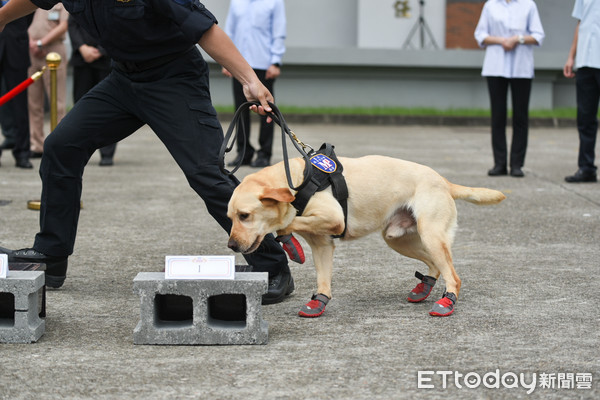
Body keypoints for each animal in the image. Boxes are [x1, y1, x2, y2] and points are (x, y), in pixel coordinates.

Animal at [227, 155, 504, 318]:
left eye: (244, 215)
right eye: (230, 217)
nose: (231, 245)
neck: (296, 181)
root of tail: (444, 181)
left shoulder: (334, 219)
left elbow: (289, 220)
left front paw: (286, 235)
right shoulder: (322, 244)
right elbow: (323, 281)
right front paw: (319, 303)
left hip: (430, 235)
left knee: (453, 276)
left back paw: (447, 301)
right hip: (397, 238)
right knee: (436, 265)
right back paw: (423, 288)